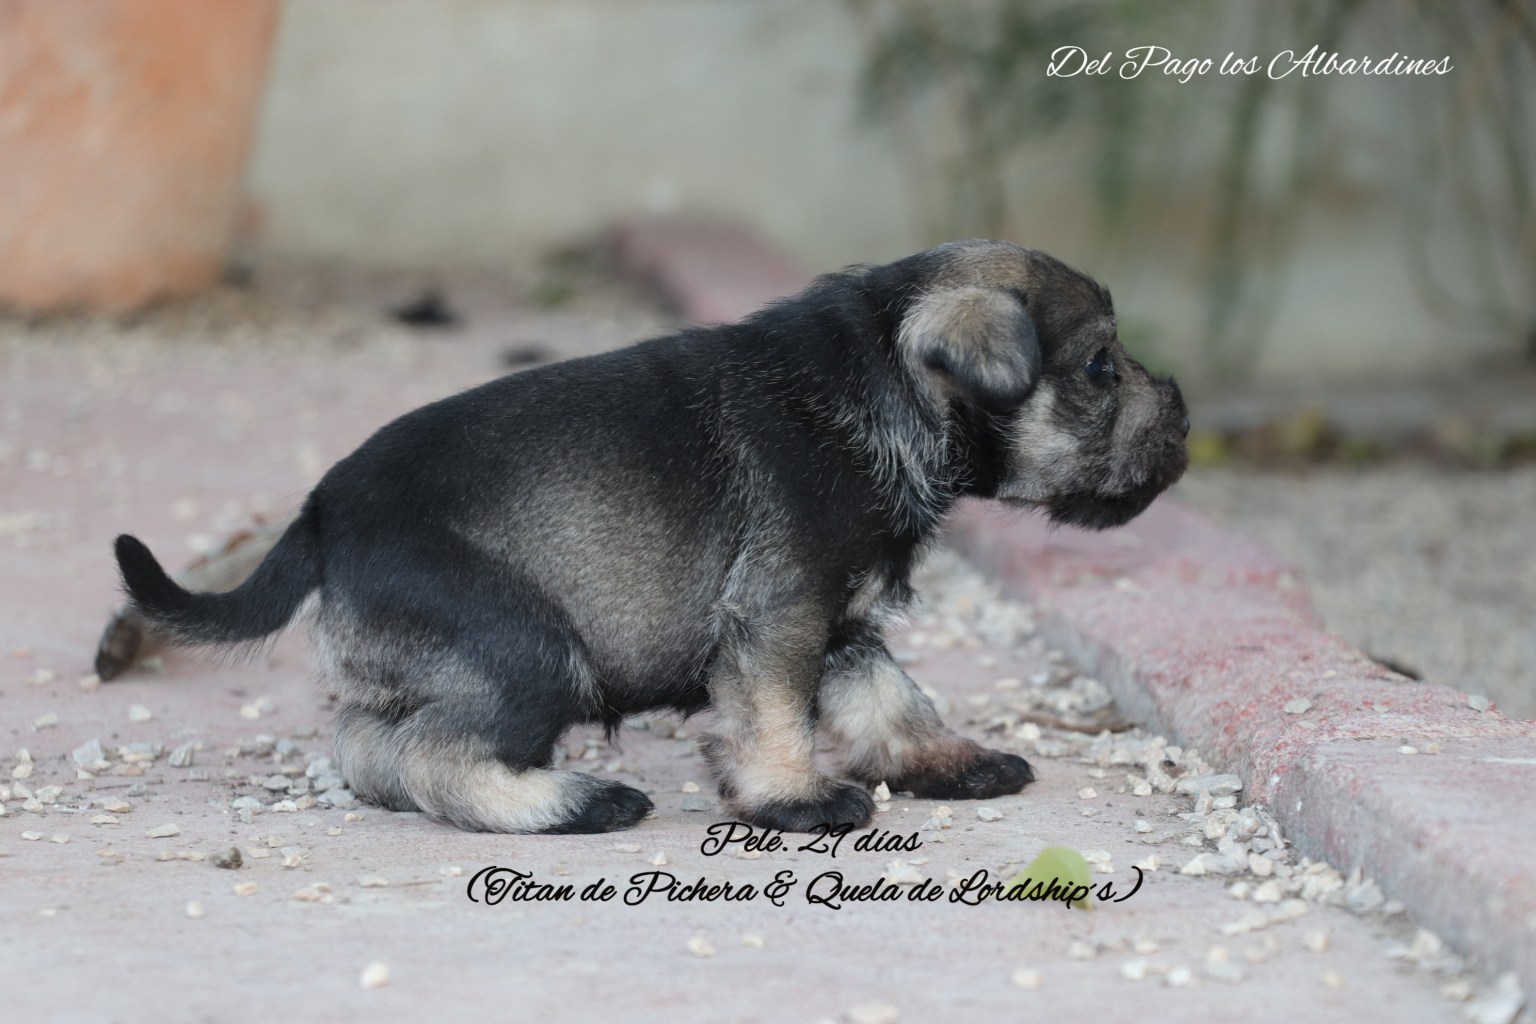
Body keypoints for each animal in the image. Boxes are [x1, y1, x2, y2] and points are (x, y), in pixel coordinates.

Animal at [113, 239, 1189, 835]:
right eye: (1101, 366)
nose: (1182, 412)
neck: (884, 384)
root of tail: (320, 512)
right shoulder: (779, 617)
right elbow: (775, 716)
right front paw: (795, 799)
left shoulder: (839, 622)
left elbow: (894, 698)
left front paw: (949, 762)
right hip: (529, 652)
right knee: (434, 756)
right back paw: (574, 803)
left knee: (370, 749)